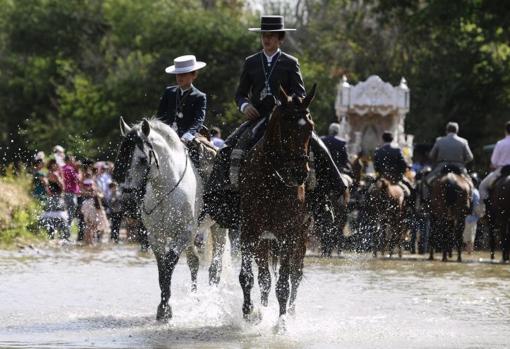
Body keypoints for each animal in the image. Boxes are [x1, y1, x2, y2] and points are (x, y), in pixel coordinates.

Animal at [113, 117, 203, 320]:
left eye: (142, 159)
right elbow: (162, 269)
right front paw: (163, 307)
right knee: (194, 261)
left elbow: (169, 264)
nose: (127, 200)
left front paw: (165, 309)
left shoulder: (183, 234)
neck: (165, 190)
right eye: (121, 157)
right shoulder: (156, 236)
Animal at [238, 85, 314, 330]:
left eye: (310, 128)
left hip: (301, 236)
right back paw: (262, 310)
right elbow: (248, 277)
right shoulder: (249, 233)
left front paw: (281, 323)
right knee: (264, 277)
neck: (272, 180)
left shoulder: (289, 235)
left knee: (296, 275)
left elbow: (284, 283)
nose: (300, 173)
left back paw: (290, 312)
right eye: (286, 126)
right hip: (264, 240)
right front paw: (249, 312)